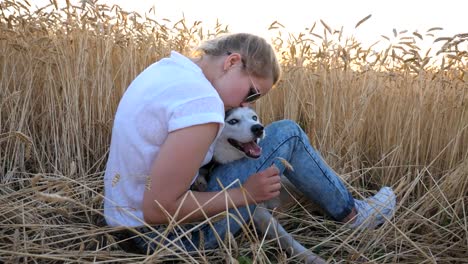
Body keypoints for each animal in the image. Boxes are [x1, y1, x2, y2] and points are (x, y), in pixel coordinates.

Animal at [194, 107, 326, 264]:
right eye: (233, 121)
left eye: (254, 118)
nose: (258, 128)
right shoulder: (259, 212)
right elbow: (285, 237)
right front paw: (312, 257)